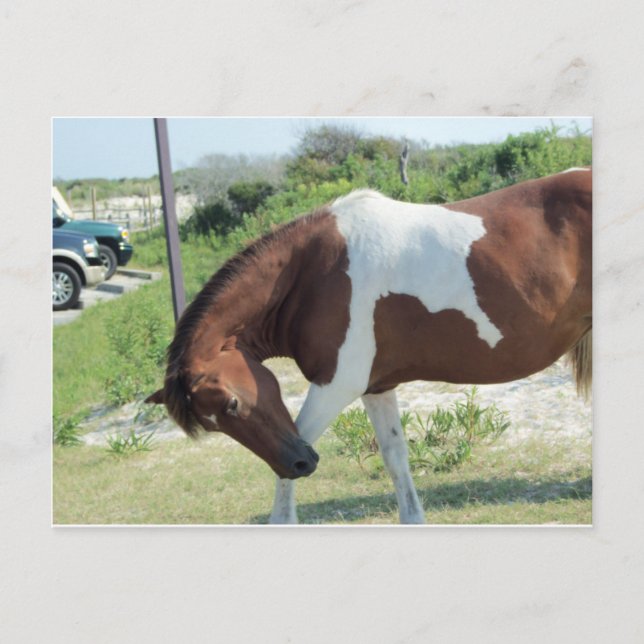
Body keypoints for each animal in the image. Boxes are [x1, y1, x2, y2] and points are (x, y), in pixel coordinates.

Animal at [146, 168, 592, 524]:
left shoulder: (334, 387)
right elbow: (395, 458)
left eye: (232, 404)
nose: (299, 463)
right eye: (211, 425)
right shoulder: (377, 388)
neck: (310, 274)